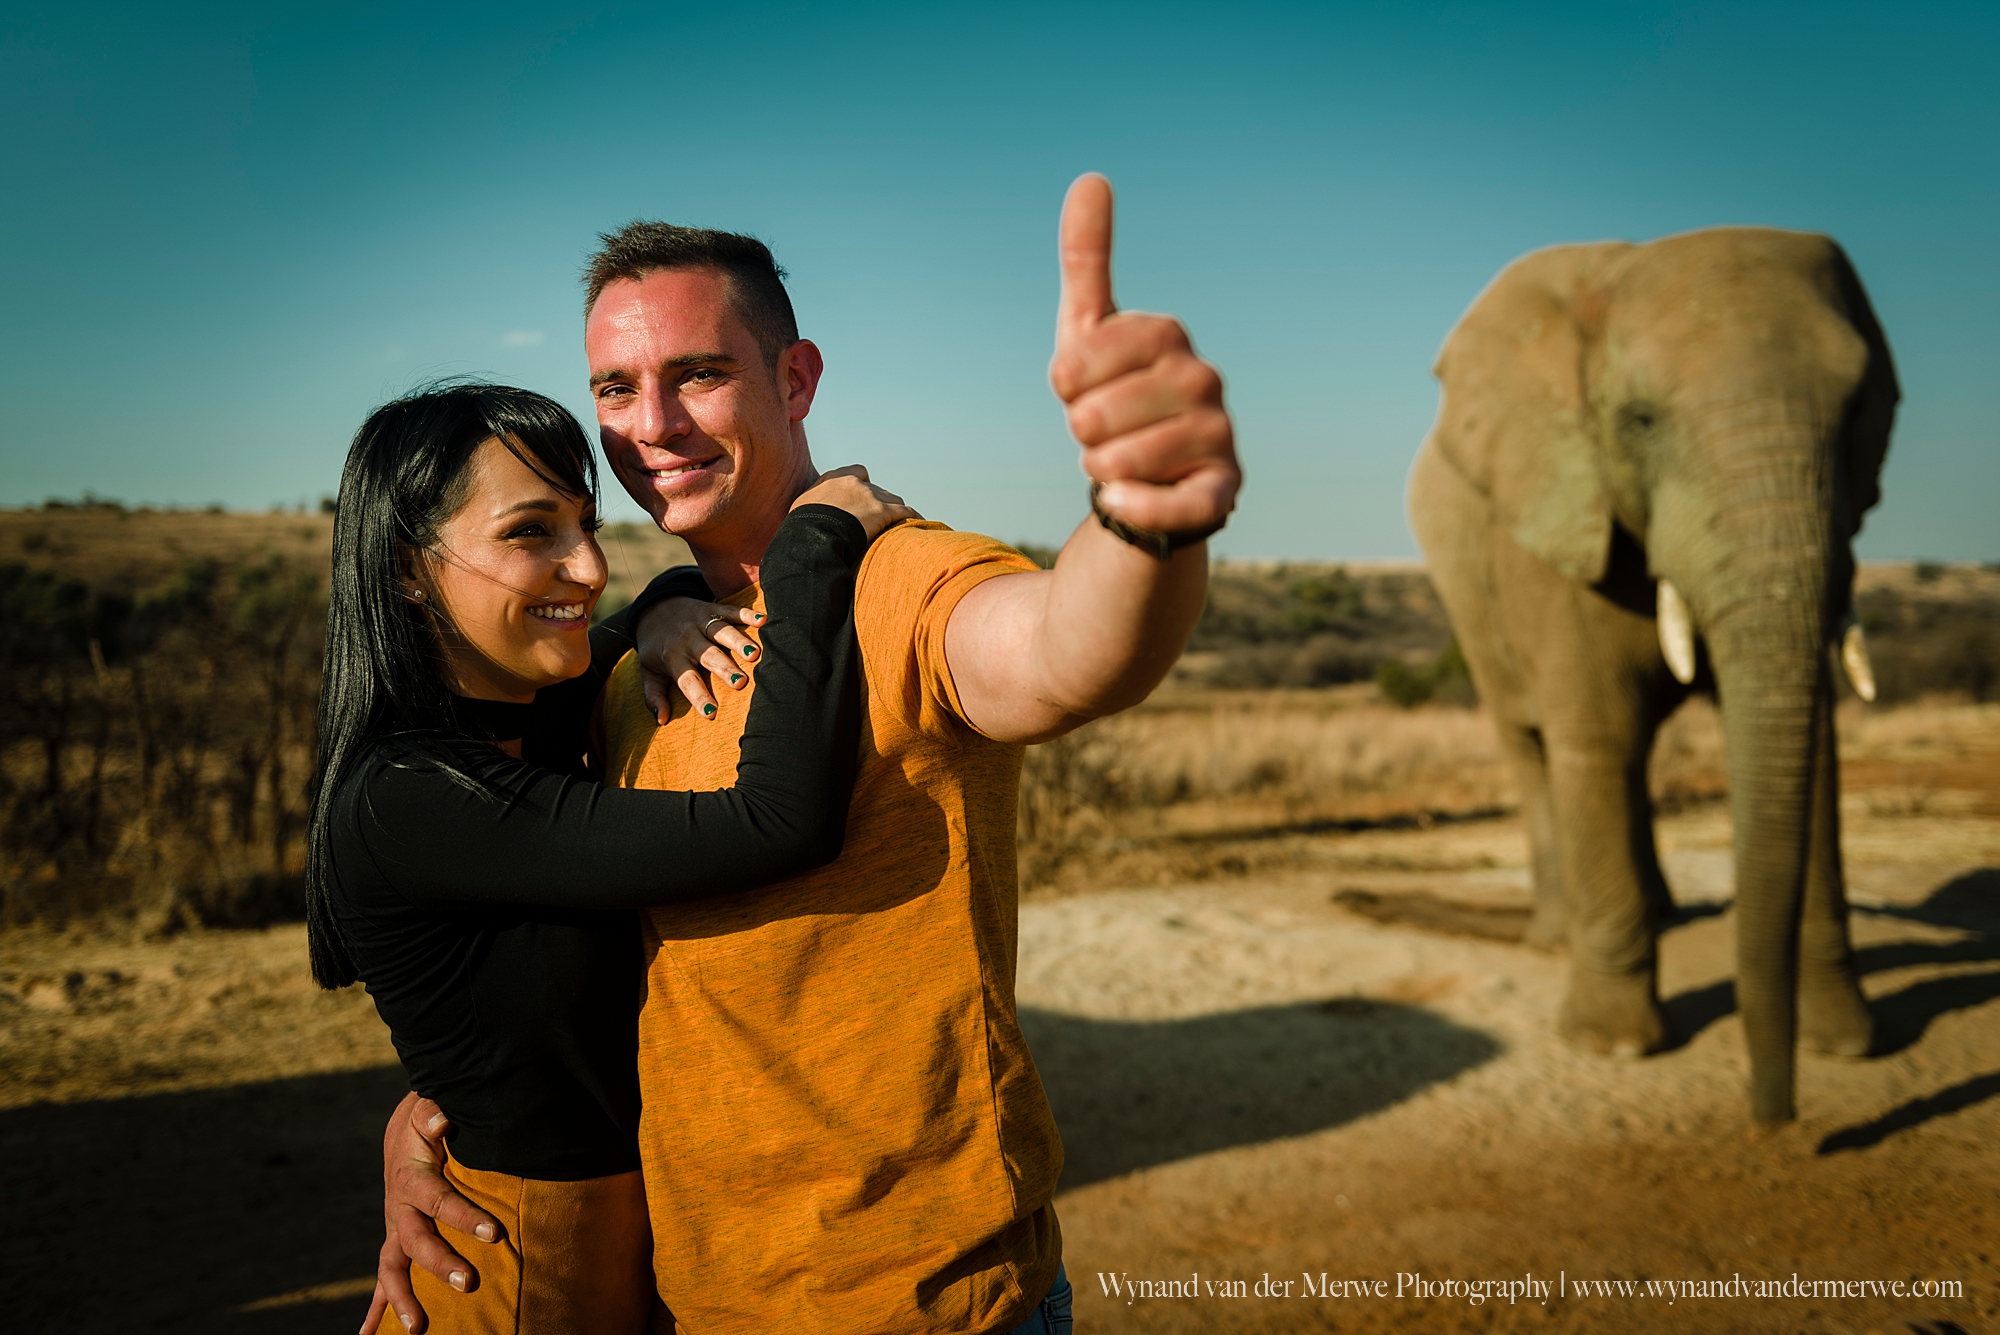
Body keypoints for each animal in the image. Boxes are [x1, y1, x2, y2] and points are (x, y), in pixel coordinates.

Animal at [1400, 229, 1896, 1127]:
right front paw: (1614, 1046)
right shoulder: (1555, 515)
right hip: (1467, 598)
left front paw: (1844, 1045)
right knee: (1537, 748)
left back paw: (1658, 915)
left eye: (1855, 415)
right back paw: (1555, 938)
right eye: (1639, 421)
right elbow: (1591, 736)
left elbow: (1812, 748)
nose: (1774, 1119)